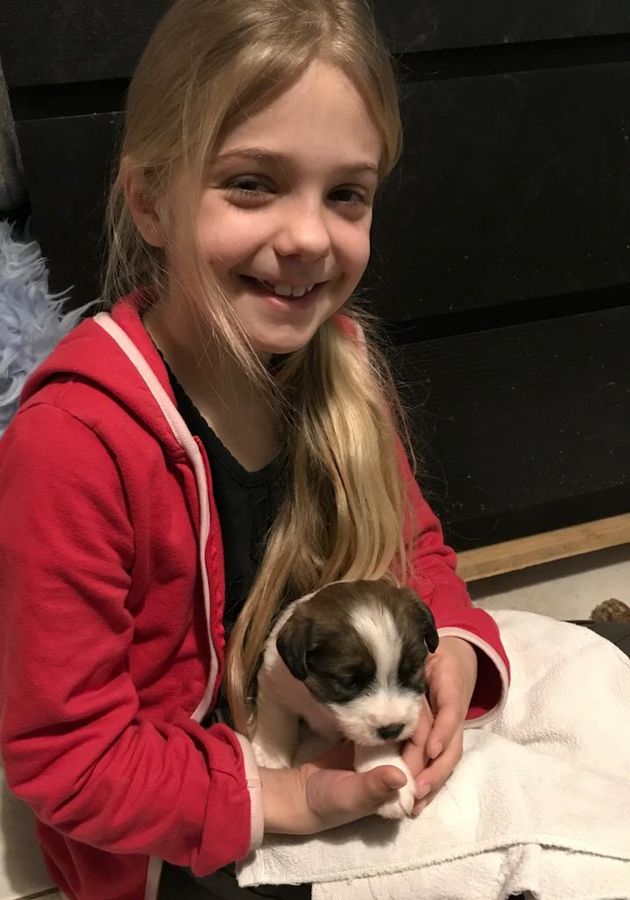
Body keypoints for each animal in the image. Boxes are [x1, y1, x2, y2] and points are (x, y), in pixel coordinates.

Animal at [251, 579, 439, 819]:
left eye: (412, 670)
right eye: (350, 682)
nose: (392, 730)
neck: (321, 704)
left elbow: (373, 741)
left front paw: (382, 767)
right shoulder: (275, 682)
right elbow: (276, 721)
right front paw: (270, 755)